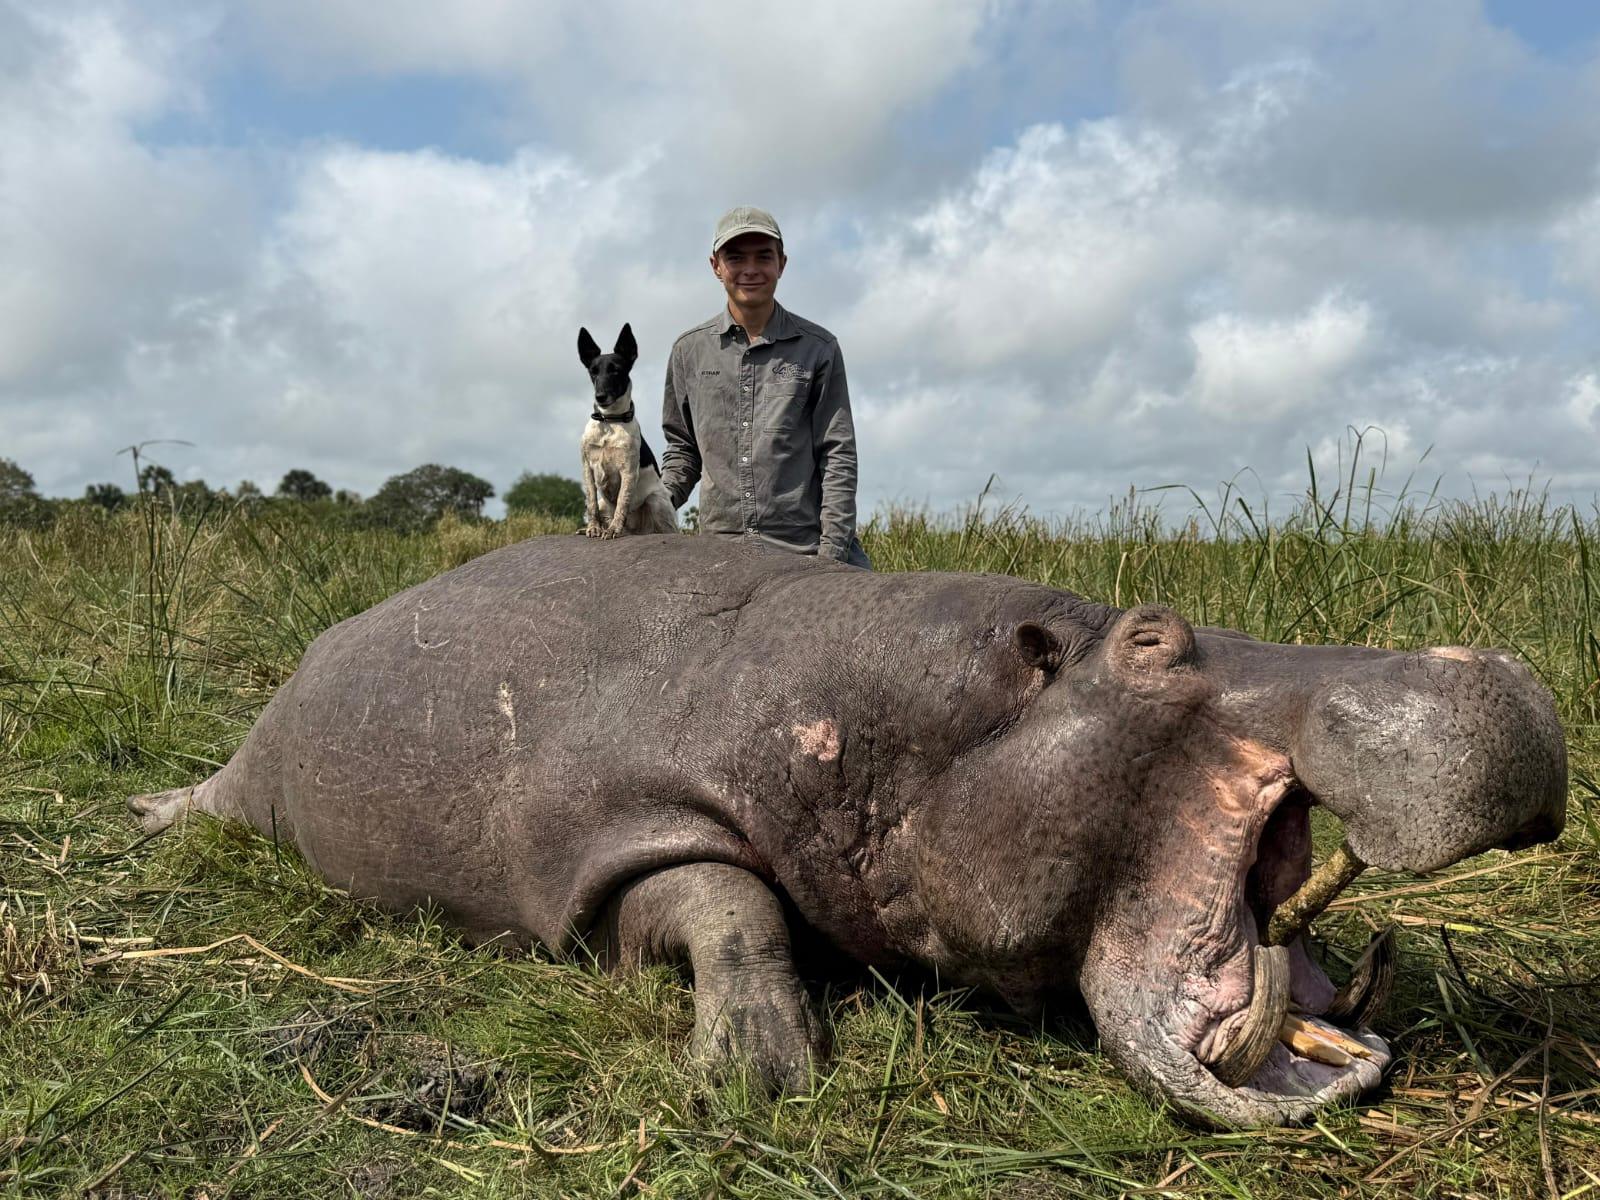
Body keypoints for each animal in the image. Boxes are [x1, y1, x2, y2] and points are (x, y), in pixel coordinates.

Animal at [129, 535, 1567, 1127]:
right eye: (1154, 639)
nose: (1496, 669)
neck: (931, 725)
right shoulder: (617, 835)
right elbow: (728, 903)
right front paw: (762, 1071)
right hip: (260, 769)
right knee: (212, 798)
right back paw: (151, 820)